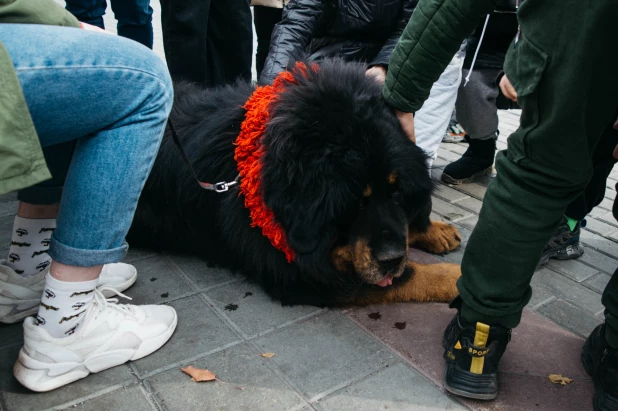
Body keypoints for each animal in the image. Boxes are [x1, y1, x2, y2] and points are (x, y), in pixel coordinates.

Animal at [127, 59, 460, 308]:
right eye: (352, 203)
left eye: (397, 194)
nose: (391, 259)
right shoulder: (300, 275)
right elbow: (412, 276)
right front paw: (455, 278)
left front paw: (432, 230)